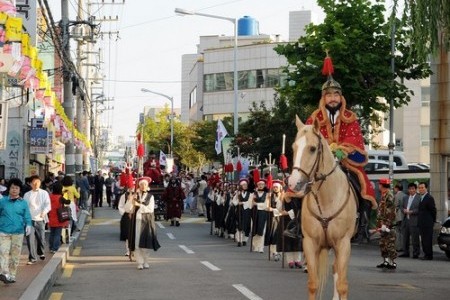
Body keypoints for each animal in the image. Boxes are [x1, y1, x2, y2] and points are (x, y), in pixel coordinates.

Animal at [288, 116, 358, 300]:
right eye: (293, 147)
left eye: (312, 148)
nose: (292, 183)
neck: (327, 199)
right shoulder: (310, 243)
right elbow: (313, 284)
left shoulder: (343, 243)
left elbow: (342, 285)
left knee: (337, 271)